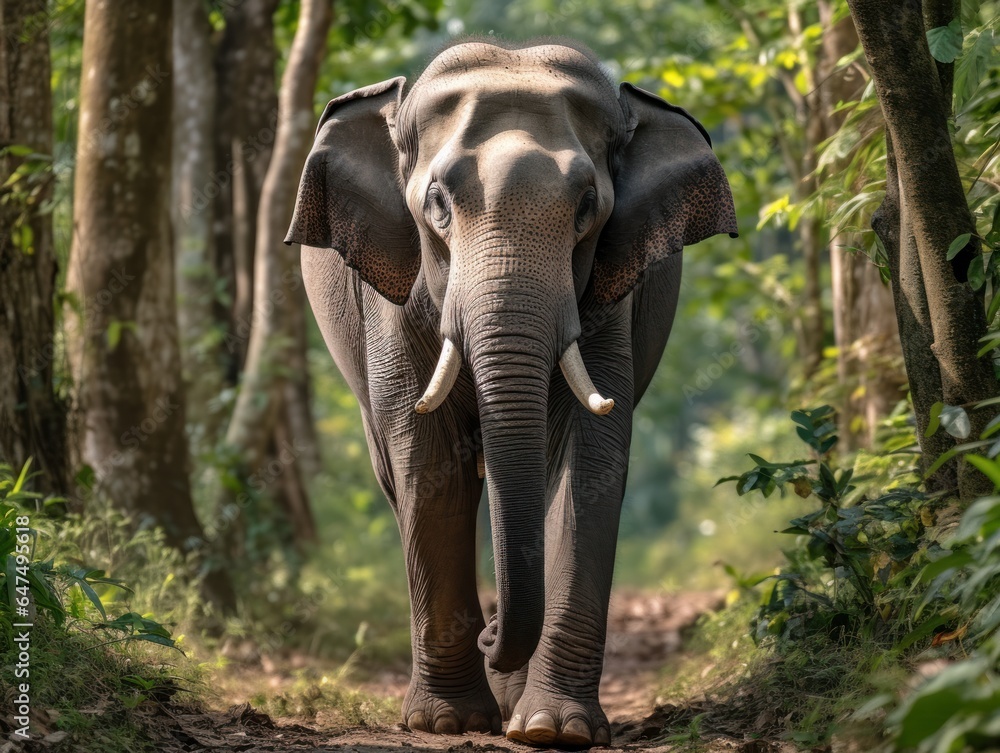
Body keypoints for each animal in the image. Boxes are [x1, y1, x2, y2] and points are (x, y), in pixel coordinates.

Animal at [285, 38, 737, 748]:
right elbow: (427, 459)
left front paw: (556, 729)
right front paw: (446, 721)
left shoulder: (608, 296)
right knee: (401, 476)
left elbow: (587, 459)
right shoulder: (393, 294)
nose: (492, 631)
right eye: (437, 203)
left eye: (587, 207)